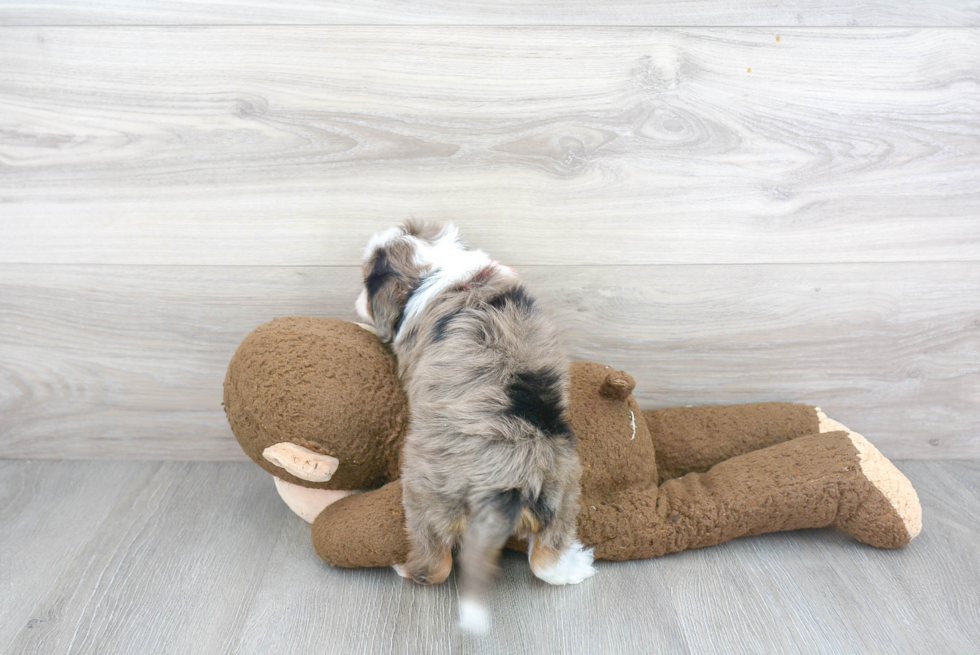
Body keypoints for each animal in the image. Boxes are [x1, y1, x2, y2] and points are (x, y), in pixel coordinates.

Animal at [356, 223, 592, 632]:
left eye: (367, 281)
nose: (356, 302)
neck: (436, 265)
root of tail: (507, 485)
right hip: (563, 492)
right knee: (545, 560)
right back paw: (578, 566)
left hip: (425, 498)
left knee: (436, 566)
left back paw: (404, 567)